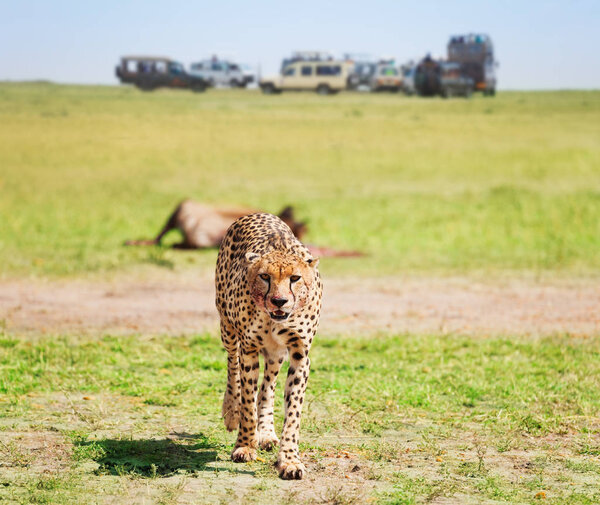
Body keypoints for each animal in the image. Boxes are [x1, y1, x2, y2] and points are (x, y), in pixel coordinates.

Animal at [213, 211, 322, 478]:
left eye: (295, 278)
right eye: (264, 276)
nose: (279, 301)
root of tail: (257, 213)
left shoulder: (299, 354)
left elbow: (293, 412)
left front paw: (289, 460)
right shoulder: (249, 349)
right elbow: (247, 402)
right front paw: (244, 445)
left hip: (276, 354)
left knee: (268, 386)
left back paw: (267, 433)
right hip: (227, 329)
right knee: (232, 367)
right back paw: (231, 412)